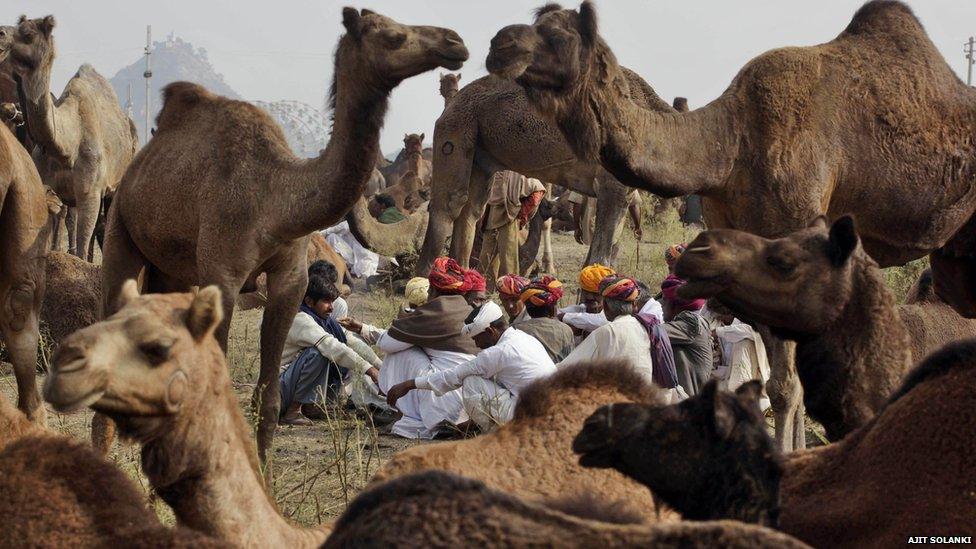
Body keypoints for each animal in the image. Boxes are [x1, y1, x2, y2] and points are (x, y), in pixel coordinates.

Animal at [8, 16, 138, 260]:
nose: (2, 35)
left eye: (28, 34)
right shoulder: (47, 183)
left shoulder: (90, 192)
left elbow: (83, 237)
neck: (66, 147)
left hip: (118, 182)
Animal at [99, 8, 467, 466]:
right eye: (392, 35)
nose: (455, 43)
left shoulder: (290, 277)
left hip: (173, 270)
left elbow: (268, 398)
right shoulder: (222, 275)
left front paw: (262, 478)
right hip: (119, 228)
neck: (276, 202)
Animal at [415, 66, 671, 277]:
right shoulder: (613, 184)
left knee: (471, 211)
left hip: (481, 154)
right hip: (456, 130)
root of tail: (451, 107)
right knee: (450, 205)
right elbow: (600, 255)